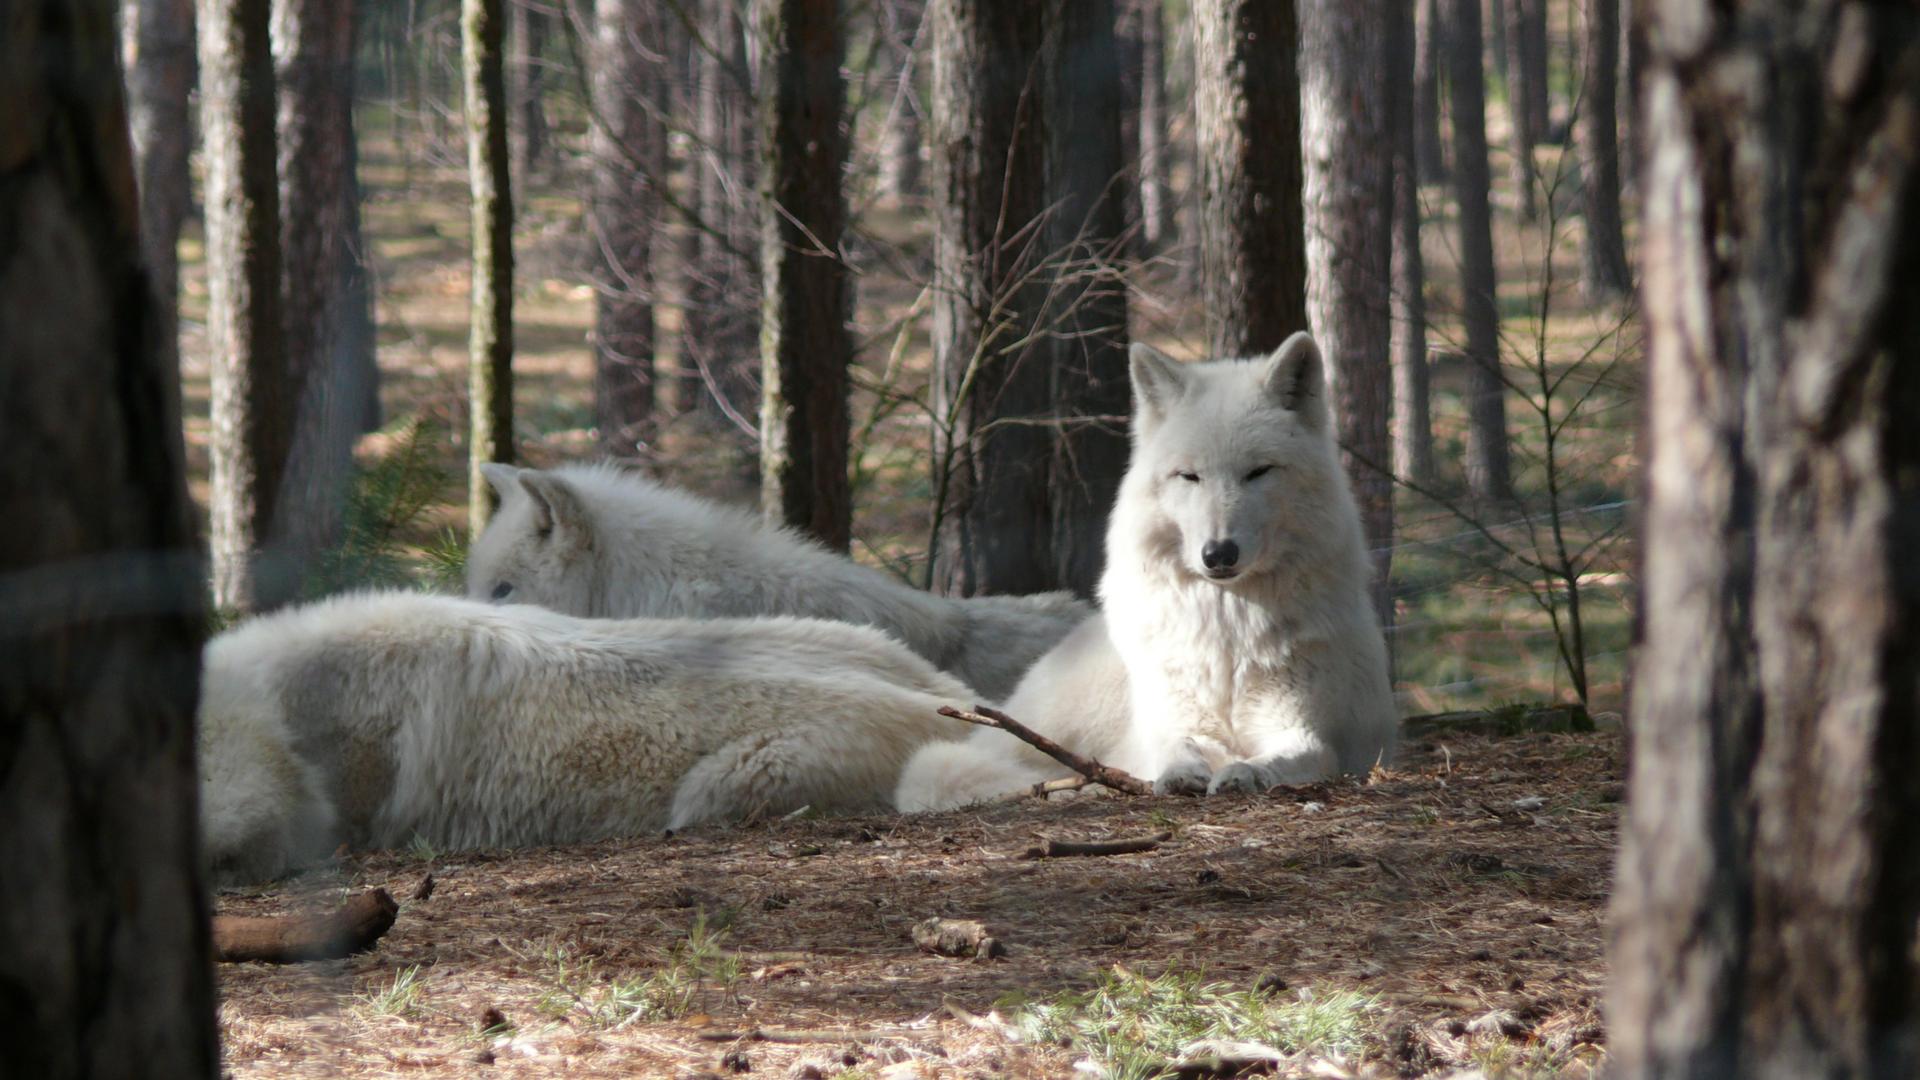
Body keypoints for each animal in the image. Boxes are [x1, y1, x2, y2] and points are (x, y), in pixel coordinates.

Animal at [898, 332, 1397, 803]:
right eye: (1189, 476)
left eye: (1259, 472)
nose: (1219, 553)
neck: (1225, 630)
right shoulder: (1175, 718)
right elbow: (1176, 745)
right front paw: (1179, 773)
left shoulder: (1307, 732)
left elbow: (1284, 756)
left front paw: (1242, 773)